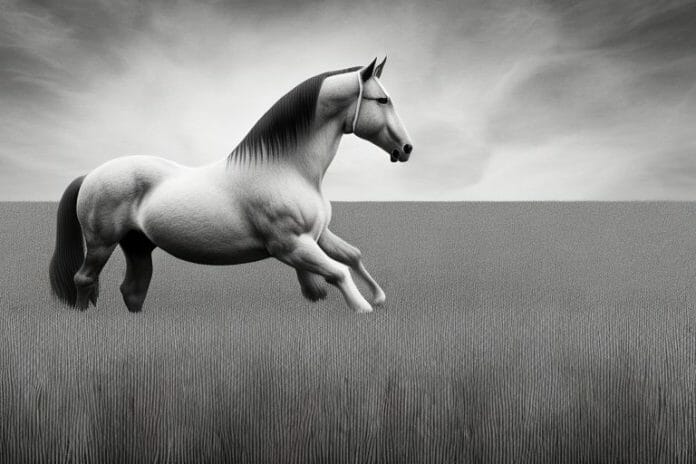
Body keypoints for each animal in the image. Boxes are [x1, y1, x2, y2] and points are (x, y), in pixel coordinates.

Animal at [49, 57, 413, 314]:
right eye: (382, 100)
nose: (406, 149)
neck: (287, 169)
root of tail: (90, 175)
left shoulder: (317, 234)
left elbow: (351, 256)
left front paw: (378, 297)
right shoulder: (290, 245)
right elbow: (337, 273)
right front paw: (363, 309)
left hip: (137, 245)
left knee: (133, 289)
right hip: (101, 242)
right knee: (84, 278)